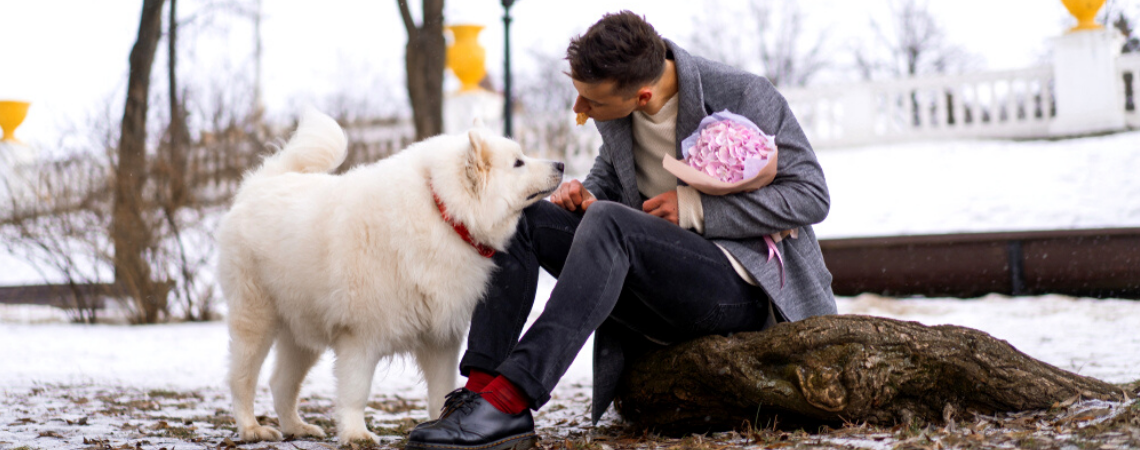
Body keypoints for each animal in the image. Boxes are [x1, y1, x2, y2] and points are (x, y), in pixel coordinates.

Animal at [215, 111, 563, 446]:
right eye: (518, 162)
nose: (560, 165)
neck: (442, 212)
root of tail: (258, 184)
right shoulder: (359, 337)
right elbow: (355, 392)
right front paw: (356, 434)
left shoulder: (439, 339)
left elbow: (440, 390)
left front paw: (442, 425)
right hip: (256, 319)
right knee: (242, 380)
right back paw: (252, 429)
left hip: (301, 331)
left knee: (281, 384)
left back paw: (297, 427)